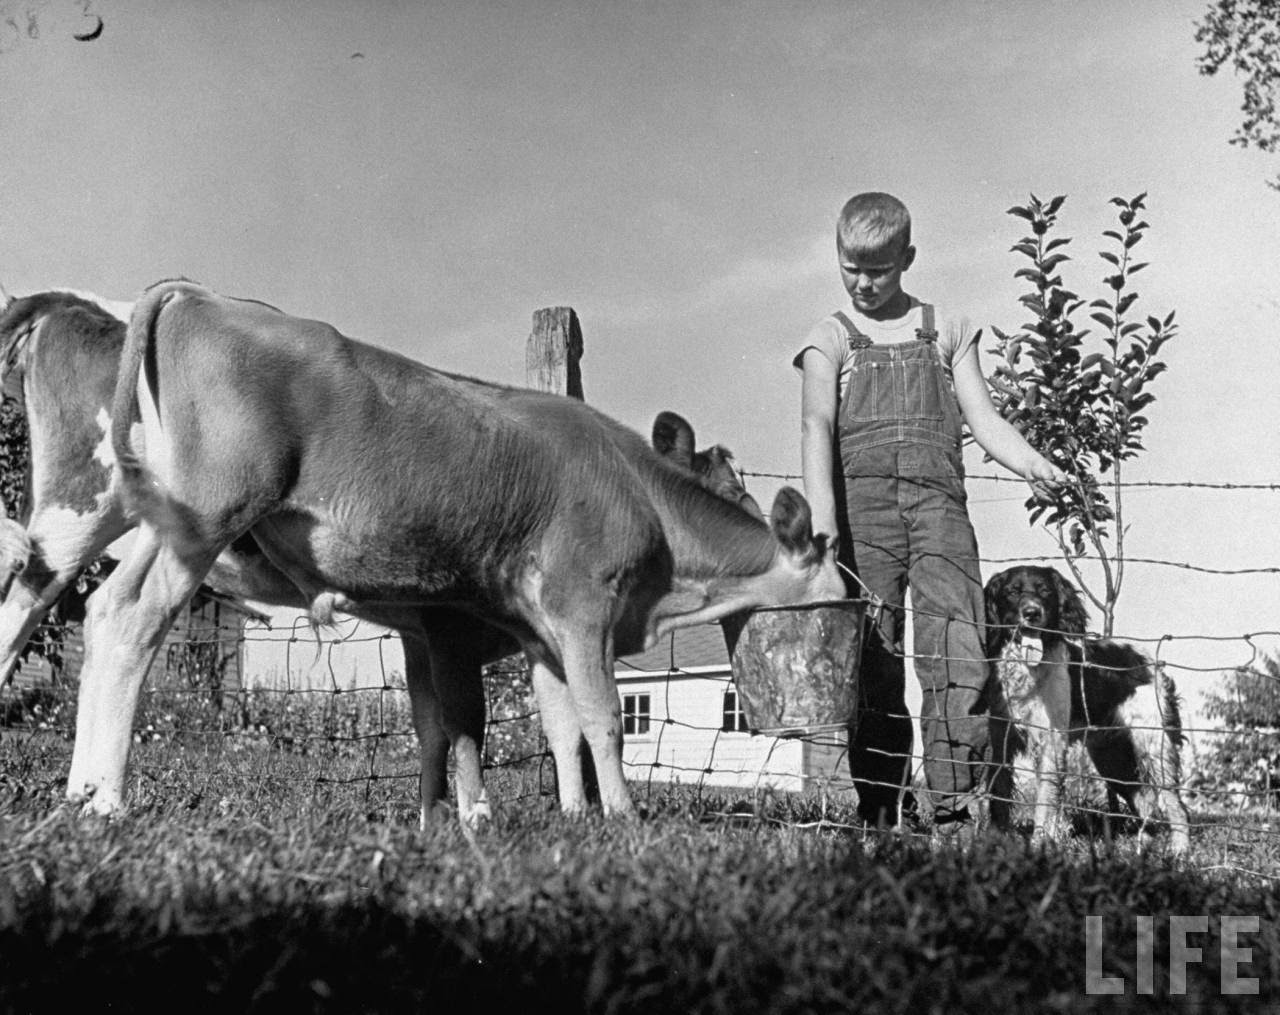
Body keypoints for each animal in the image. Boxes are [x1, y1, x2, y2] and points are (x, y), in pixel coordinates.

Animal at [0, 289, 786, 822]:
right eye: (726, 487)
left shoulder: (463, 632)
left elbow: (468, 723)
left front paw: (462, 819)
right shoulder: (452, 625)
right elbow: (468, 721)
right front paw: (478, 818)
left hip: (88, 510)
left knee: (30, 600)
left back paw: (78, 792)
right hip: (197, 513)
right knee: (123, 616)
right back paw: (106, 798)